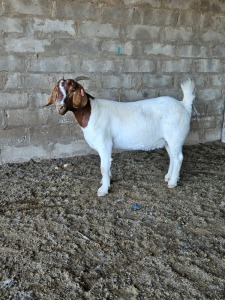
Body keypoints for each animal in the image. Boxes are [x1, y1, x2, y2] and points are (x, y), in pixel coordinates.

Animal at [46, 77, 195, 196]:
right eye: (57, 90)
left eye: (72, 90)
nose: (59, 107)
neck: (91, 112)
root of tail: (183, 105)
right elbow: (106, 166)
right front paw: (105, 182)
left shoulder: (104, 143)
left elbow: (104, 166)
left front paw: (103, 189)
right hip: (167, 140)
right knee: (172, 157)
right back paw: (169, 177)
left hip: (175, 137)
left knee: (179, 158)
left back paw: (173, 182)